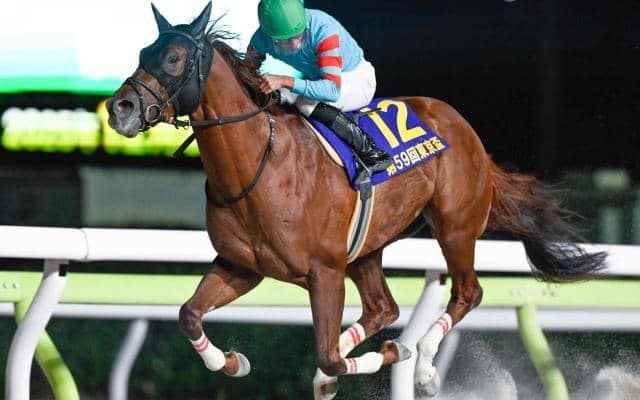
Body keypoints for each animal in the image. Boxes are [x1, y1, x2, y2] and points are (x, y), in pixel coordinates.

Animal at [106, 3, 606, 398]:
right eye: (142, 53)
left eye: (173, 58)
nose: (119, 109)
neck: (258, 167)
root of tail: (465, 130)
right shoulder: (241, 267)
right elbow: (189, 314)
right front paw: (232, 362)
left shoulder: (324, 272)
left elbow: (328, 352)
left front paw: (393, 351)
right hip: (370, 245)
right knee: (383, 306)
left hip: (455, 226)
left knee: (467, 292)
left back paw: (424, 367)